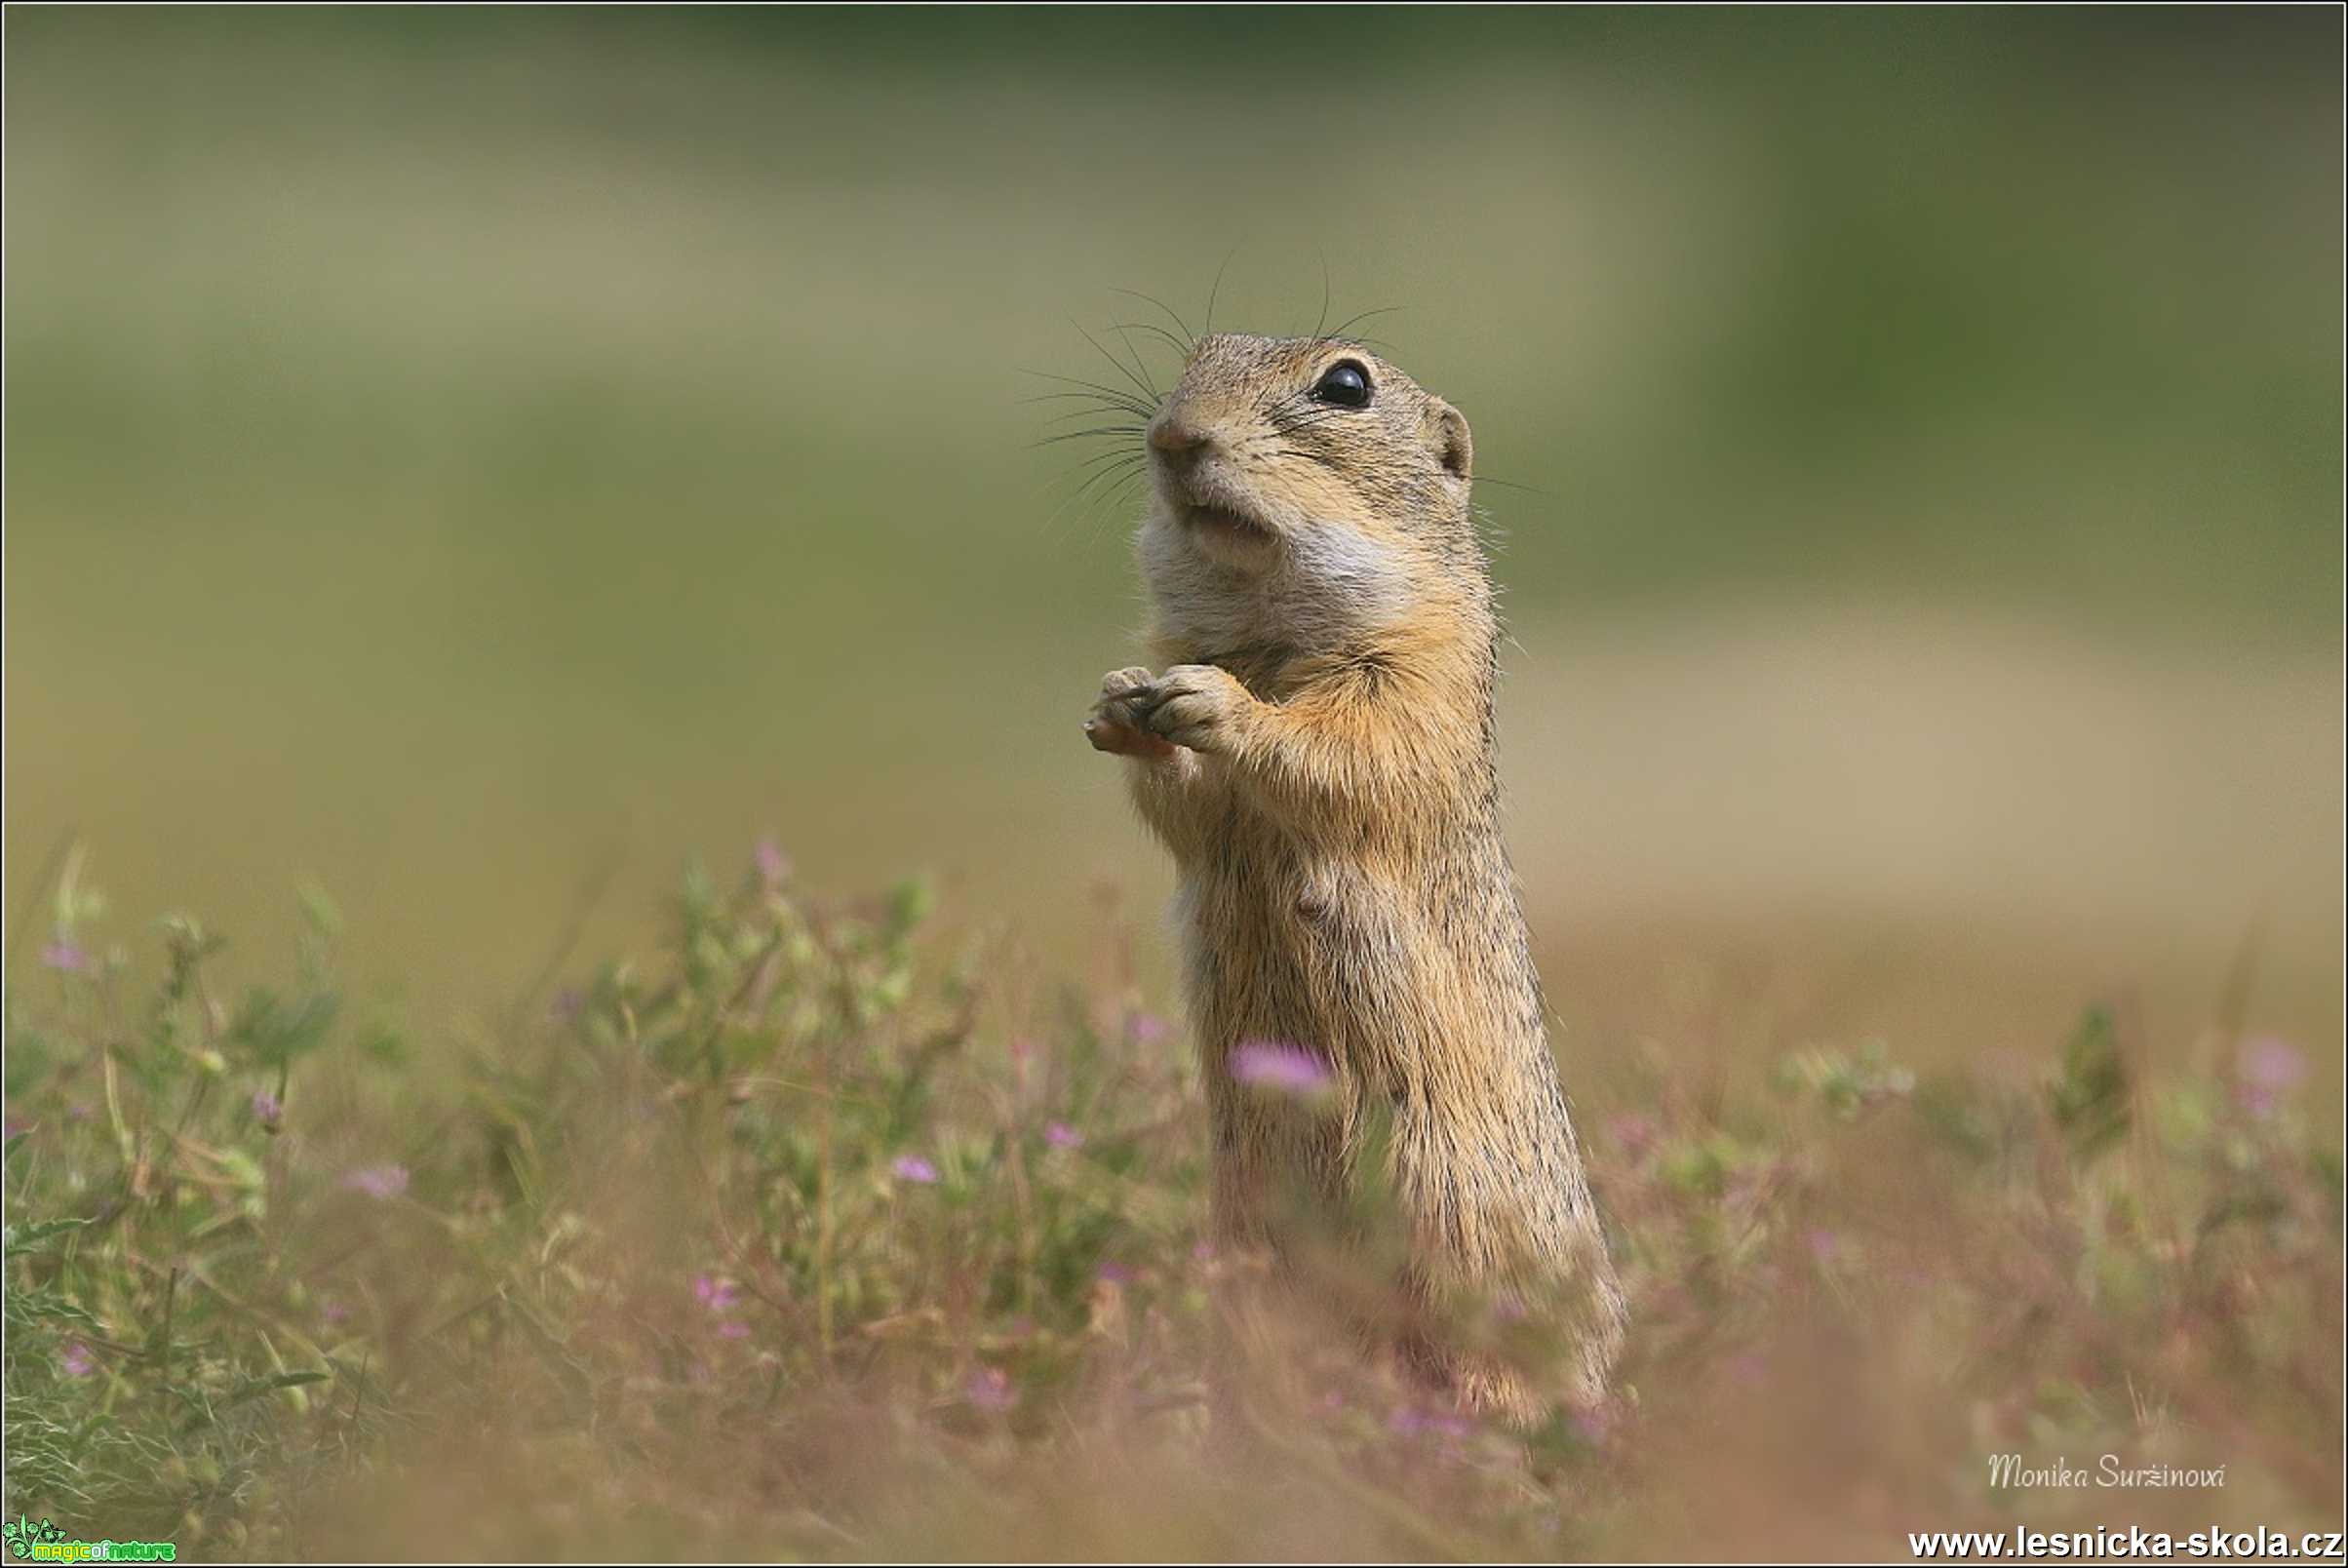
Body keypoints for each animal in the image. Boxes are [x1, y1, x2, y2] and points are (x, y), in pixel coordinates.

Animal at [1084, 329, 1624, 1417]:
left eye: (1346, 384)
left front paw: (1214, 704)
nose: (1172, 435)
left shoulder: (1420, 678)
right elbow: (1185, 809)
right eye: (1196, 354)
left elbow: (1348, 754)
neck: (1263, 634)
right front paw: (1122, 703)